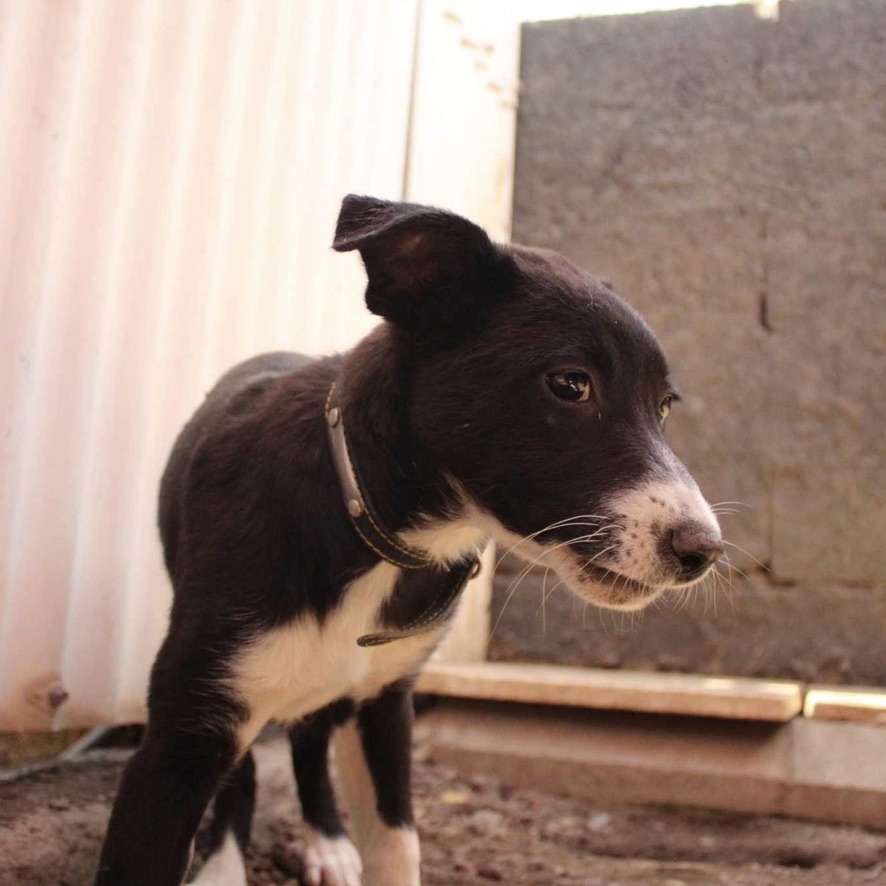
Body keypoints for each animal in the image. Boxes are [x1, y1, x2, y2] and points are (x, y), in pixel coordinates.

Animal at [95, 196, 720, 886]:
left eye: (663, 407)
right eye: (570, 384)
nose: (704, 552)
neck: (373, 530)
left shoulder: (386, 702)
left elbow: (398, 847)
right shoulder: (186, 728)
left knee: (308, 741)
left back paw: (327, 840)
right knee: (248, 771)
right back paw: (226, 864)